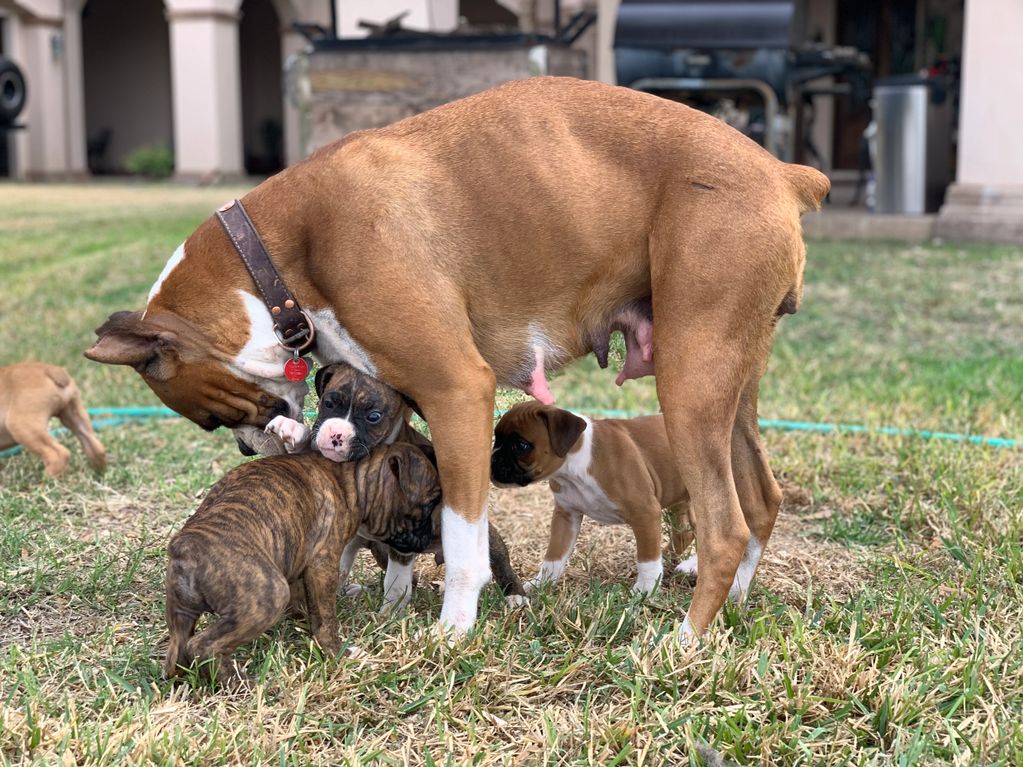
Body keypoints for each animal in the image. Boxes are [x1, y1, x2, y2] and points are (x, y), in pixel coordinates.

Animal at [163, 441, 439, 687]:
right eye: (430, 503)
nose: (431, 538)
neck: (352, 479)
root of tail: (184, 550)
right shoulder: (323, 564)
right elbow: (326, 620)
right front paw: (339, 653)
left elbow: (306, 603)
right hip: (267, 597)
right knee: (203, 645)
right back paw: (238, 684)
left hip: (182, 616)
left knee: (177, 654)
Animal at [488, 404, 695, 597]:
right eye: (496, 438)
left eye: (521, 445)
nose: (492, 460)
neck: (574, 467)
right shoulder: (566, 516)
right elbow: (554, 556)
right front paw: (541, 582)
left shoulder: (645, 513)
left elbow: (648, 558)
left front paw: (646, 588)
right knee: (686, 533)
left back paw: (690, 566)